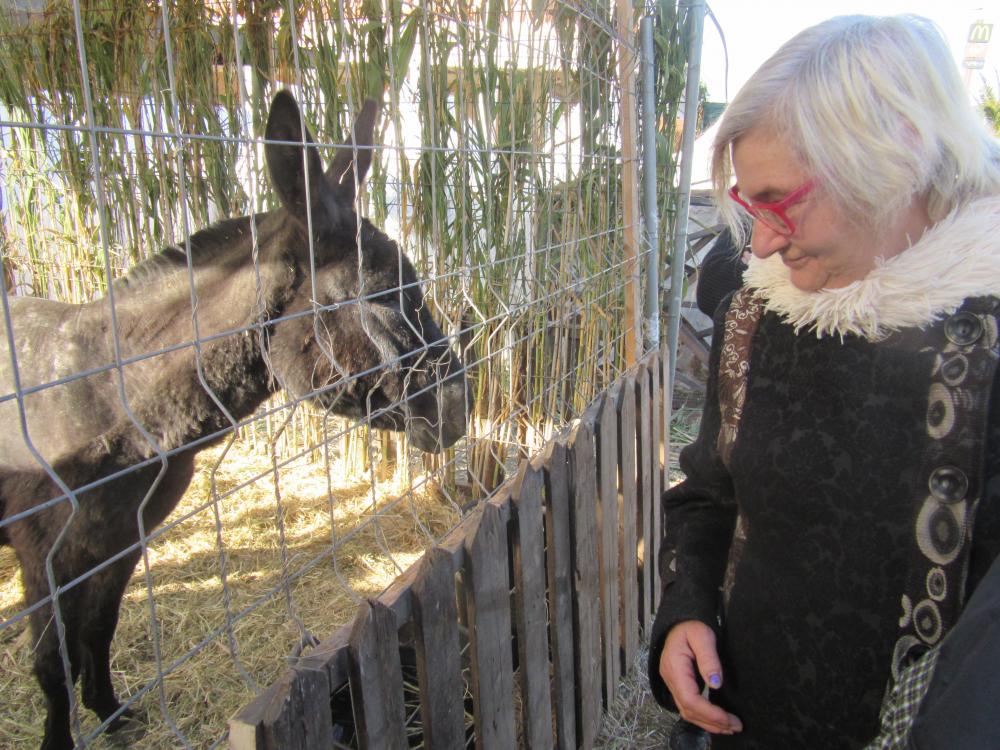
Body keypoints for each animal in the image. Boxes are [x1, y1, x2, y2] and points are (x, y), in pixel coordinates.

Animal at [0, 90, 470, 750]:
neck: (111, 396)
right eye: (378, 295)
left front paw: (112, 714)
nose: (457, 408)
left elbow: (99, 628)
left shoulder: (120, 538)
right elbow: (50, 664)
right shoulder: (44, 555)